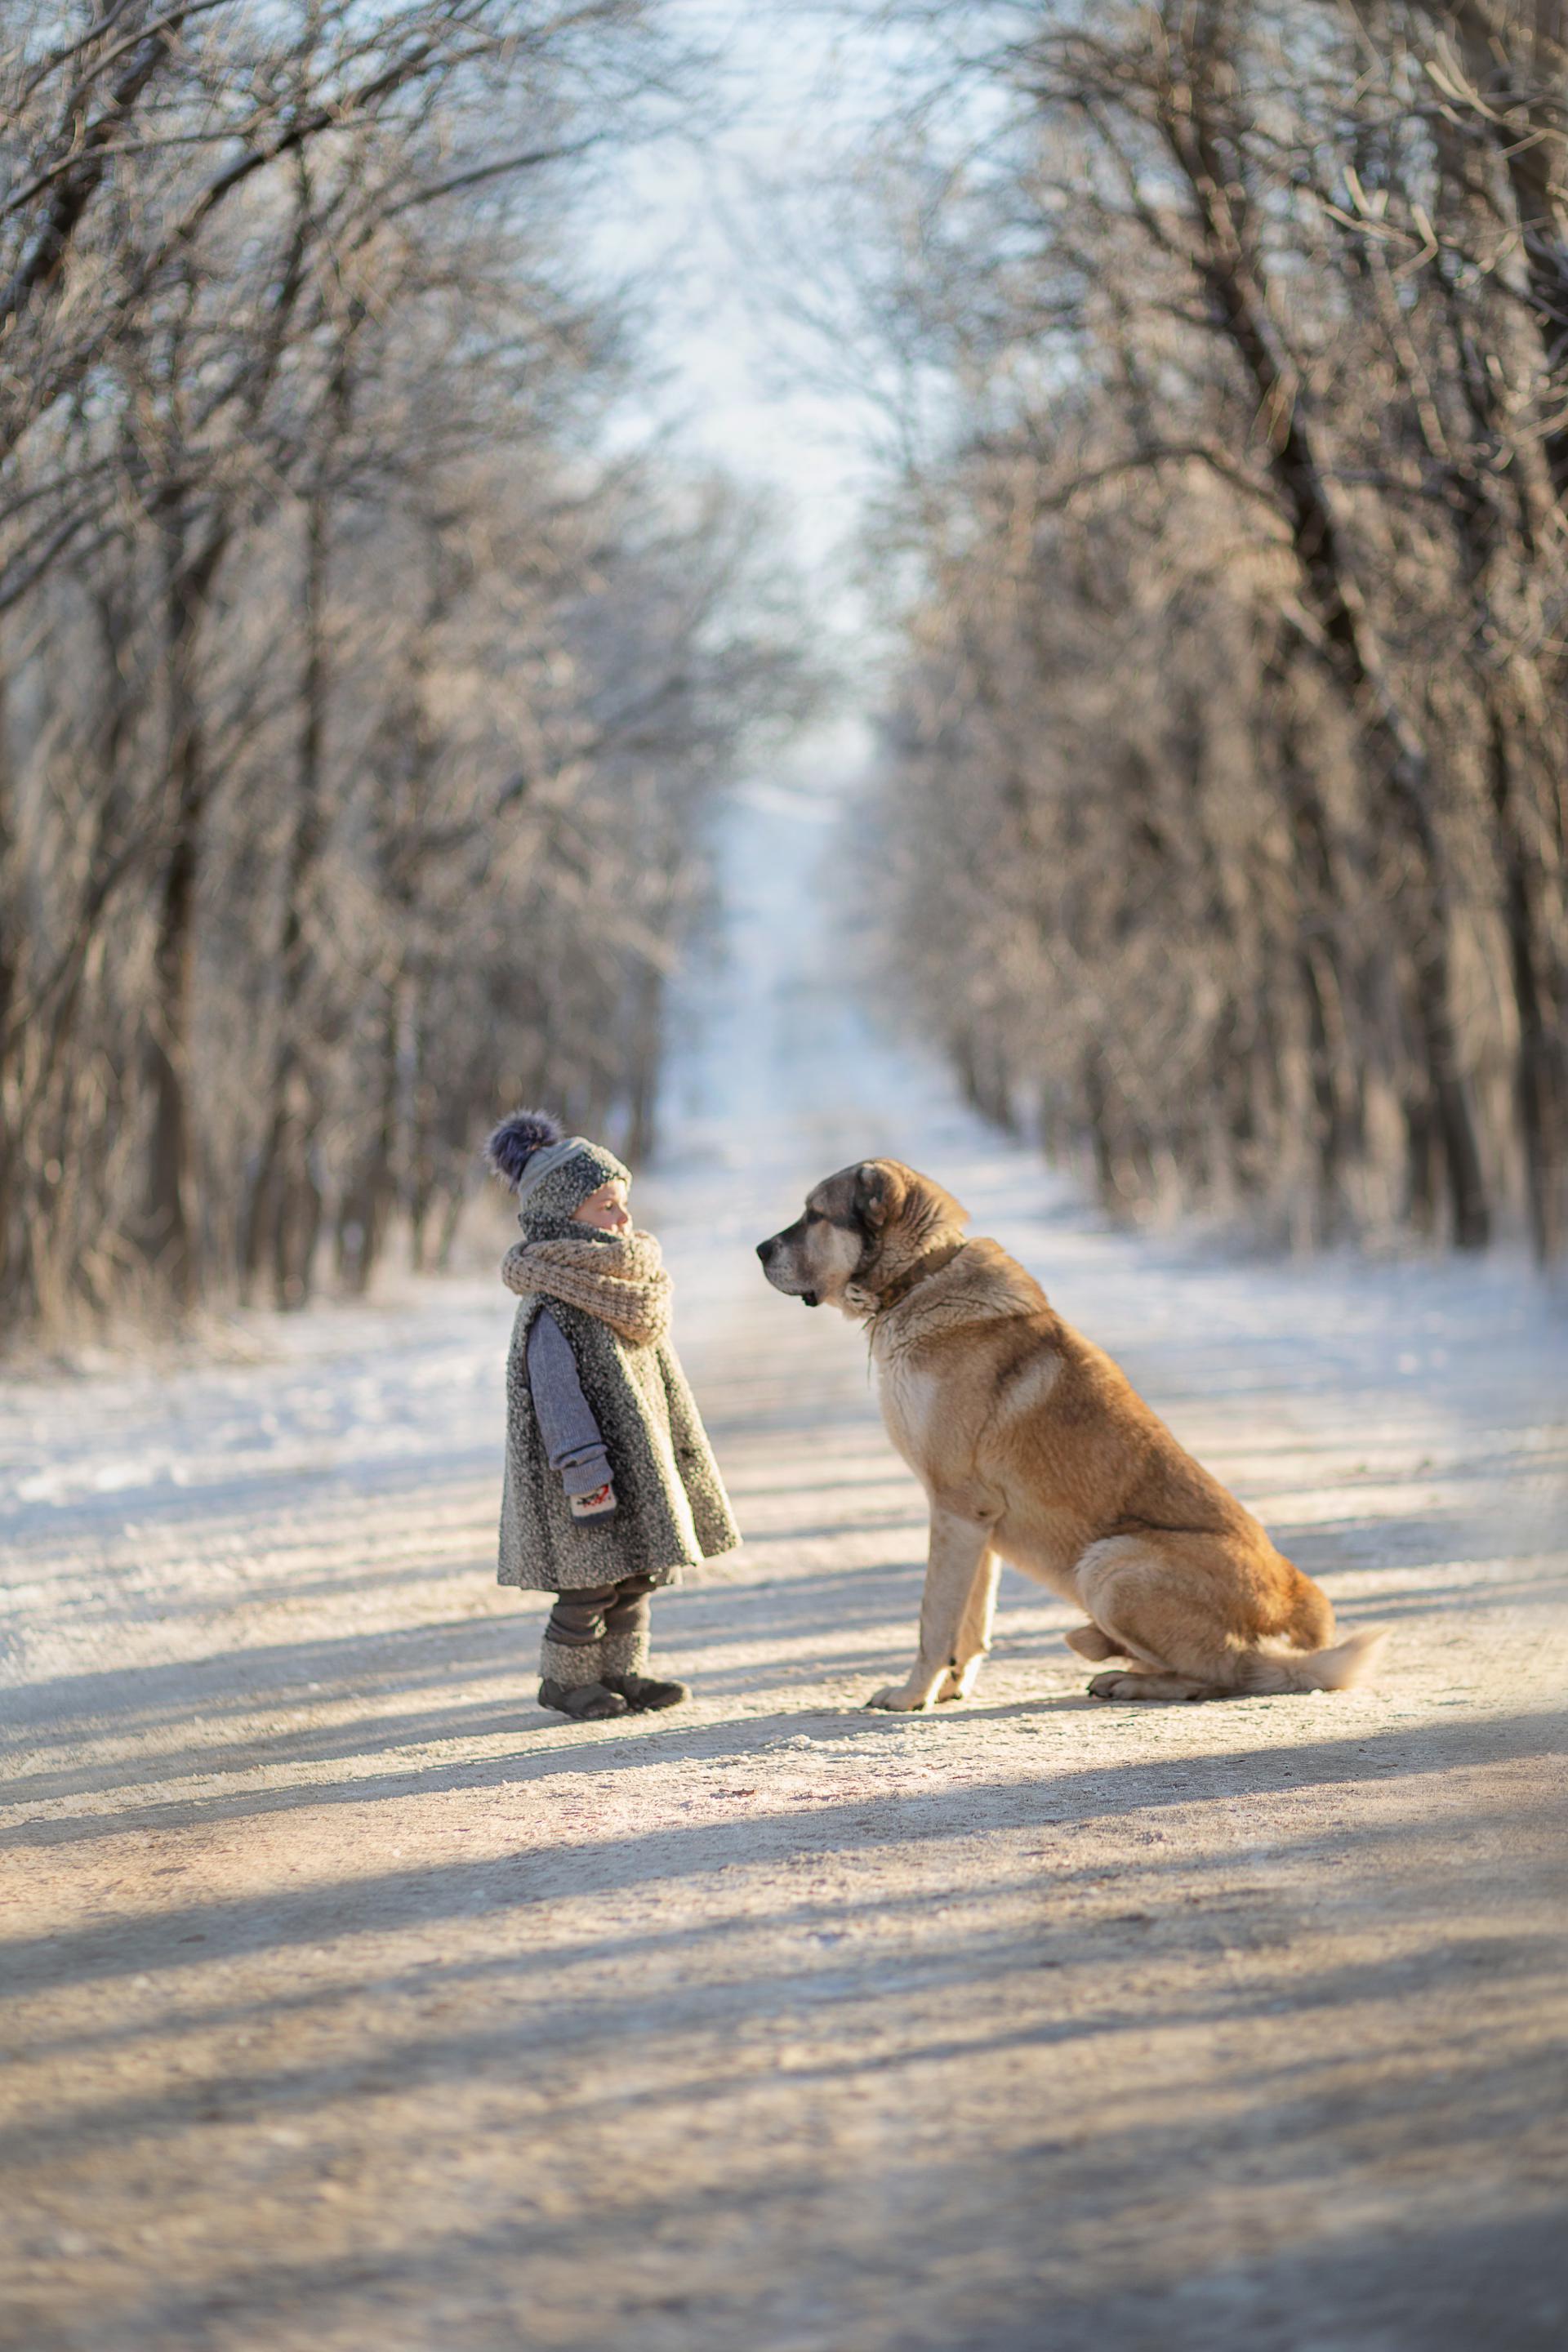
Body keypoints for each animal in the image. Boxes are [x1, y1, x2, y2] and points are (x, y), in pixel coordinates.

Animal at [761, 1156, 1382, 1712]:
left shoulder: (956, 1507)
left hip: (1111, 1565)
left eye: (814, 1215)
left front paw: (912, 1696)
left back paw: (1131, 1683)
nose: (760, 1250)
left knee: (1229, 1673)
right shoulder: (976, 1524)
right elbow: (970, 1619)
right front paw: (953, 1687)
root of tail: (1303, 1607)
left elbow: (933, 1620)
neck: (920, 1278)